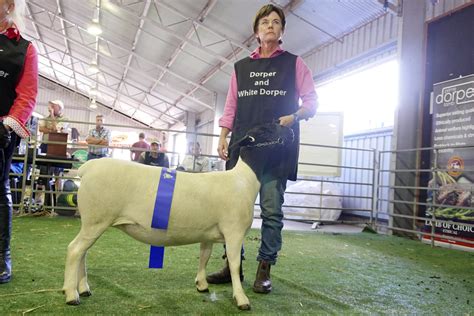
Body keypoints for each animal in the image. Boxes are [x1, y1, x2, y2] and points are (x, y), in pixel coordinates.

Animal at [62, 122, 292, 310]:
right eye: (266, 130)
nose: (290, 129)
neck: (244, 179)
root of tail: (86, 169)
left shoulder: (208, 233)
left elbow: (204, 256)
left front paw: (201, 285)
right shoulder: (234, 232)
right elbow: (235, 265)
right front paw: (241, 299)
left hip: (92, 221)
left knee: (82, 253)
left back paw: (84, 288)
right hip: (97, 219)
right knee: (74, 250)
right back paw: (72, 295)